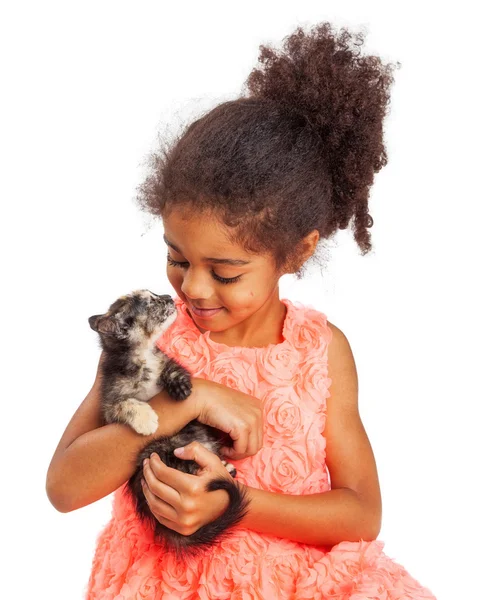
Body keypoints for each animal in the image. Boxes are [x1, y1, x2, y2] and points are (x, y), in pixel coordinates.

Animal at [88, 290, 251, 556]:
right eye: (151, 302)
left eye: (154, 294)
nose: (166, 295)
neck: (143, 357)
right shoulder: (109, 405)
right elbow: (126, 404)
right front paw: (146, 420)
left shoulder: (163, 360)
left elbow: (172, 367)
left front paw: (181, 386)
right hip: (162, 450)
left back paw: (225, 467)